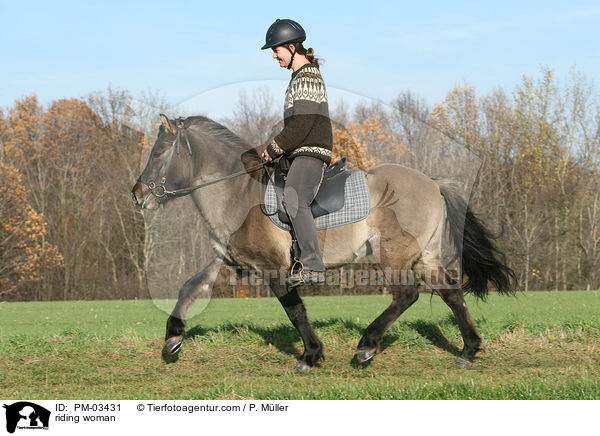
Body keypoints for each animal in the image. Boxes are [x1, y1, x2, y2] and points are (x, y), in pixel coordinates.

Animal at [131, 114, 516, 370]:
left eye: (158, 153)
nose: (137, 195)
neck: (236, 193)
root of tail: (433, 183)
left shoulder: (275, 267)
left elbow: (294, 310)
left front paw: (311, 354)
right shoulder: (225, 260)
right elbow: (189, 288)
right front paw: (172, 339)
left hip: (395, 255)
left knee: (406, 295)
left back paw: (366, 346)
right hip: (426, 256)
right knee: (451, 293)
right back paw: (468, 350)